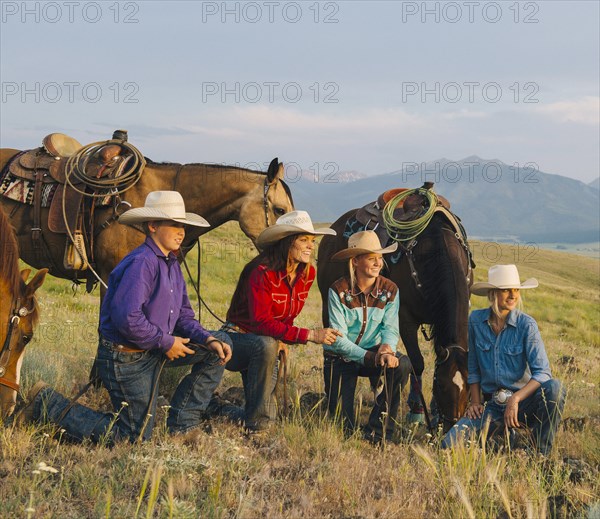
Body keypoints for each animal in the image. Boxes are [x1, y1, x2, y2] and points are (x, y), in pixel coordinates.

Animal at [318, 193, 474, 432]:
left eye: (469, 389)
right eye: (440, 386)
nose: (449, 428)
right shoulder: (405, 320)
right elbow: (418, 363)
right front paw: (417, 412)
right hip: (327, 304)